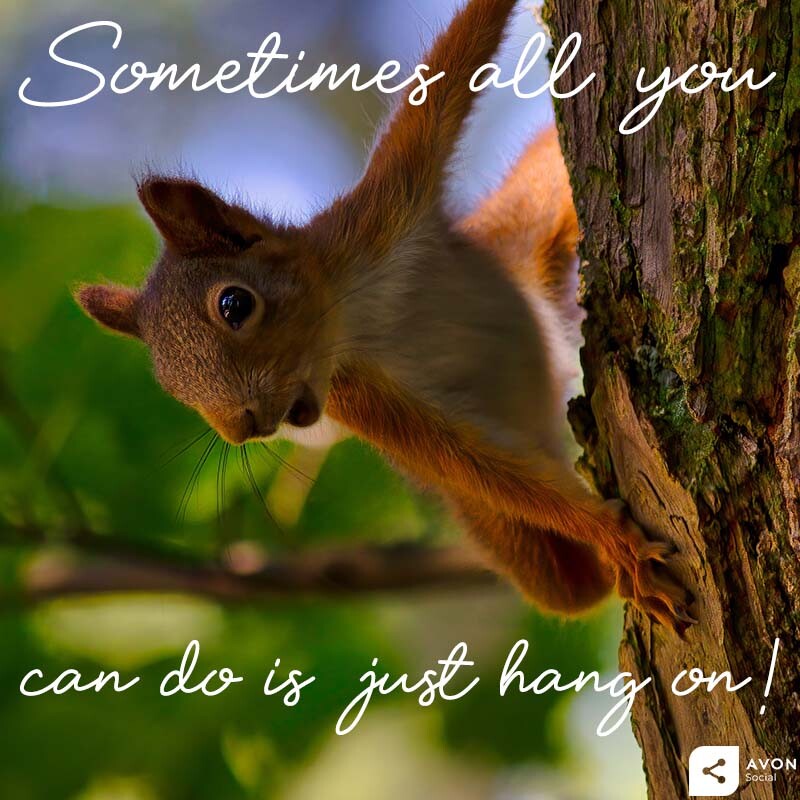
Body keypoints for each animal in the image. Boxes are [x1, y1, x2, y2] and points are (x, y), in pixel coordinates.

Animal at [76, 0, 695, 633]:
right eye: (172, 387)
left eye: (235, 304)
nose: (243, 428)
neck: (357, 314)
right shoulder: (360, 397)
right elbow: (464, 459)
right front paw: (613, 540)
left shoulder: (384, 203)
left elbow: (455, 63)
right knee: (564, 586)